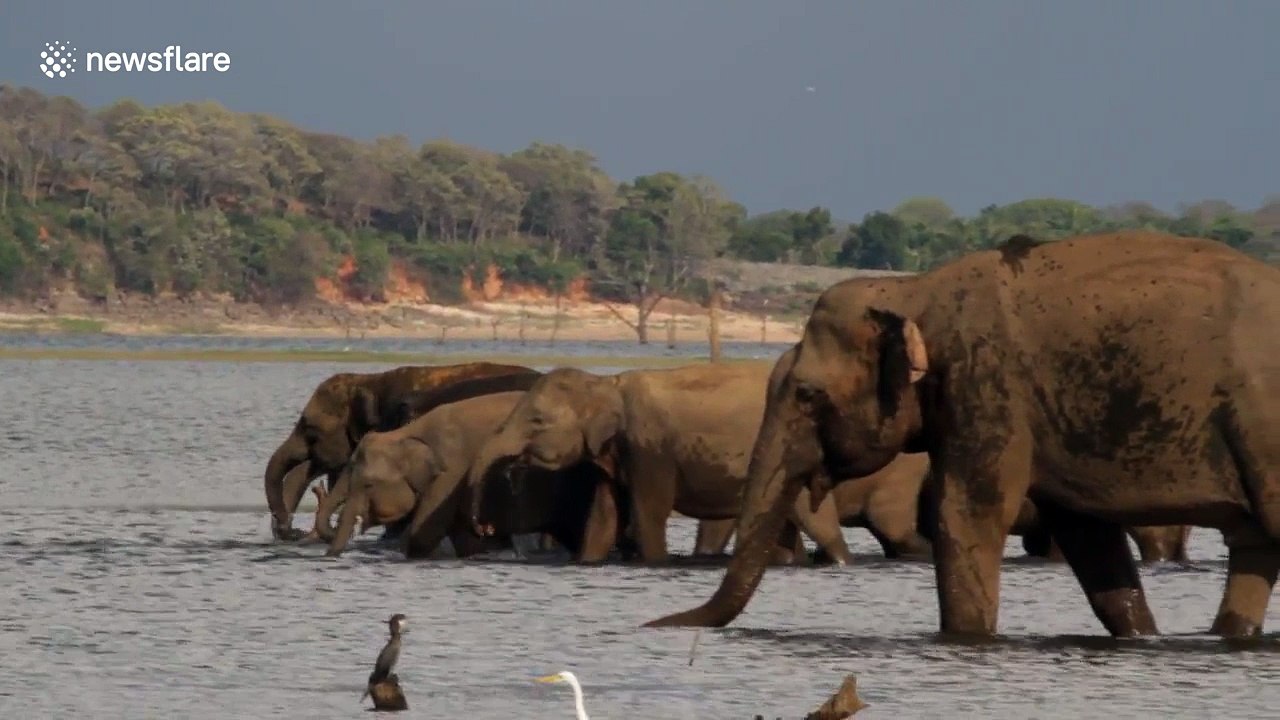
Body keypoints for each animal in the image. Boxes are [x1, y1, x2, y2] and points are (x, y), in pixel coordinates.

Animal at [465, 362, 856, 565]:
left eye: (536, 421)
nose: (483, 528)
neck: (607, 383)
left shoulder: (649, 448)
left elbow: (648, 513)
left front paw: (654, 563)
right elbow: (604, 518)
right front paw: (588, 562)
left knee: (817, 522)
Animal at [646, 231, 1279, 639]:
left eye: (806, 394)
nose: (653, 623)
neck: (915, 290)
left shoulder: (986, 385)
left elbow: (965, 516)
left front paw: (967, 641)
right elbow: (1088, 537)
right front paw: (1142, 636)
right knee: (1252, 549)